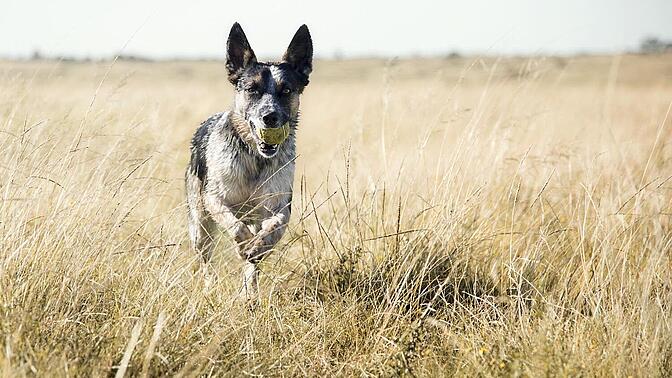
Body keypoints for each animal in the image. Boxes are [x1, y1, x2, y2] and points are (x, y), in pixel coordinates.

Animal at [185, 22, 314, 298]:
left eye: (286, 90)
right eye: (252, 89)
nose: (270, 117)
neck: (256, 158)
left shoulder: (278, 206)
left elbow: (274, 228)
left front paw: (258, 247)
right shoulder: (215, 199)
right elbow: (234, 225)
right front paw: (244, 244)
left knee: (251, 266)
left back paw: (249, 291)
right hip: (199, 226)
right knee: (206, 259)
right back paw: (211, 287)